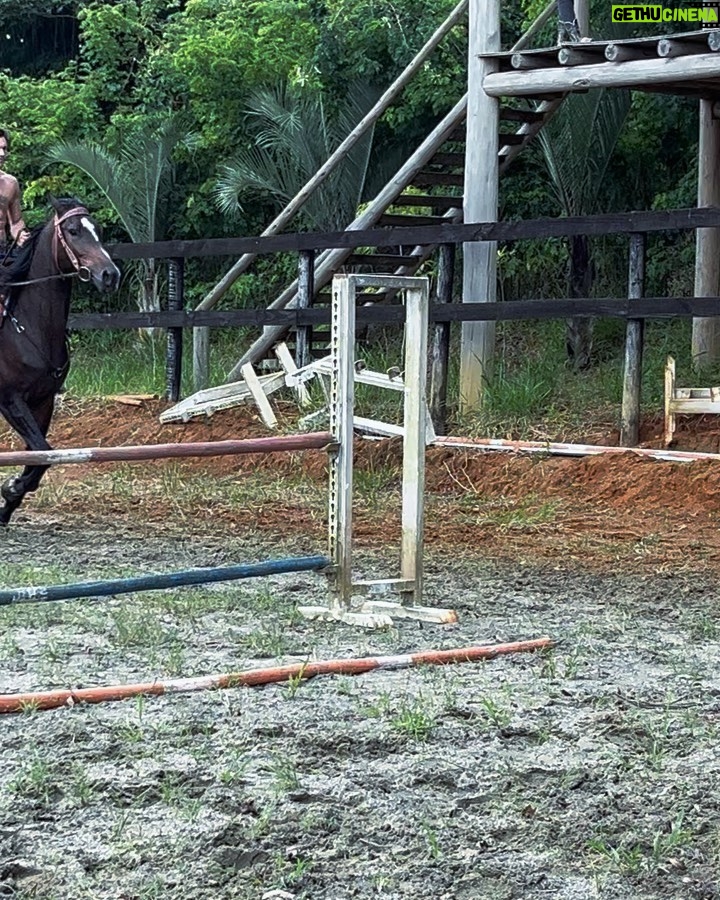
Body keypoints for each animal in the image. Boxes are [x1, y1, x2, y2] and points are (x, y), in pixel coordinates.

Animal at [0, 193, 119, 524]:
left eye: (98, 230)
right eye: (73, 231)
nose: (110, 275)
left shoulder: (43, 401)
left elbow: (39, 454)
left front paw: (10, 498)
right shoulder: (10, 400)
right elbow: (41, 450)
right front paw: (11, 488)